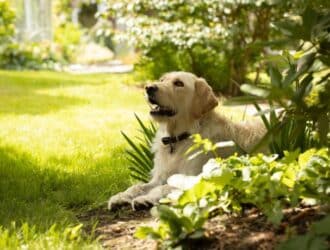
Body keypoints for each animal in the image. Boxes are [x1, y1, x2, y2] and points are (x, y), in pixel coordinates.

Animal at [108, 71, 266, 210]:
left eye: (179, 83)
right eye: (162, 80)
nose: (149, 87)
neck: (177, 139)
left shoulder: (194, 178)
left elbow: (163, 188)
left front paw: (145, 199)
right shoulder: (159, 177)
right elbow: (137, 186)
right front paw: (120, 197)